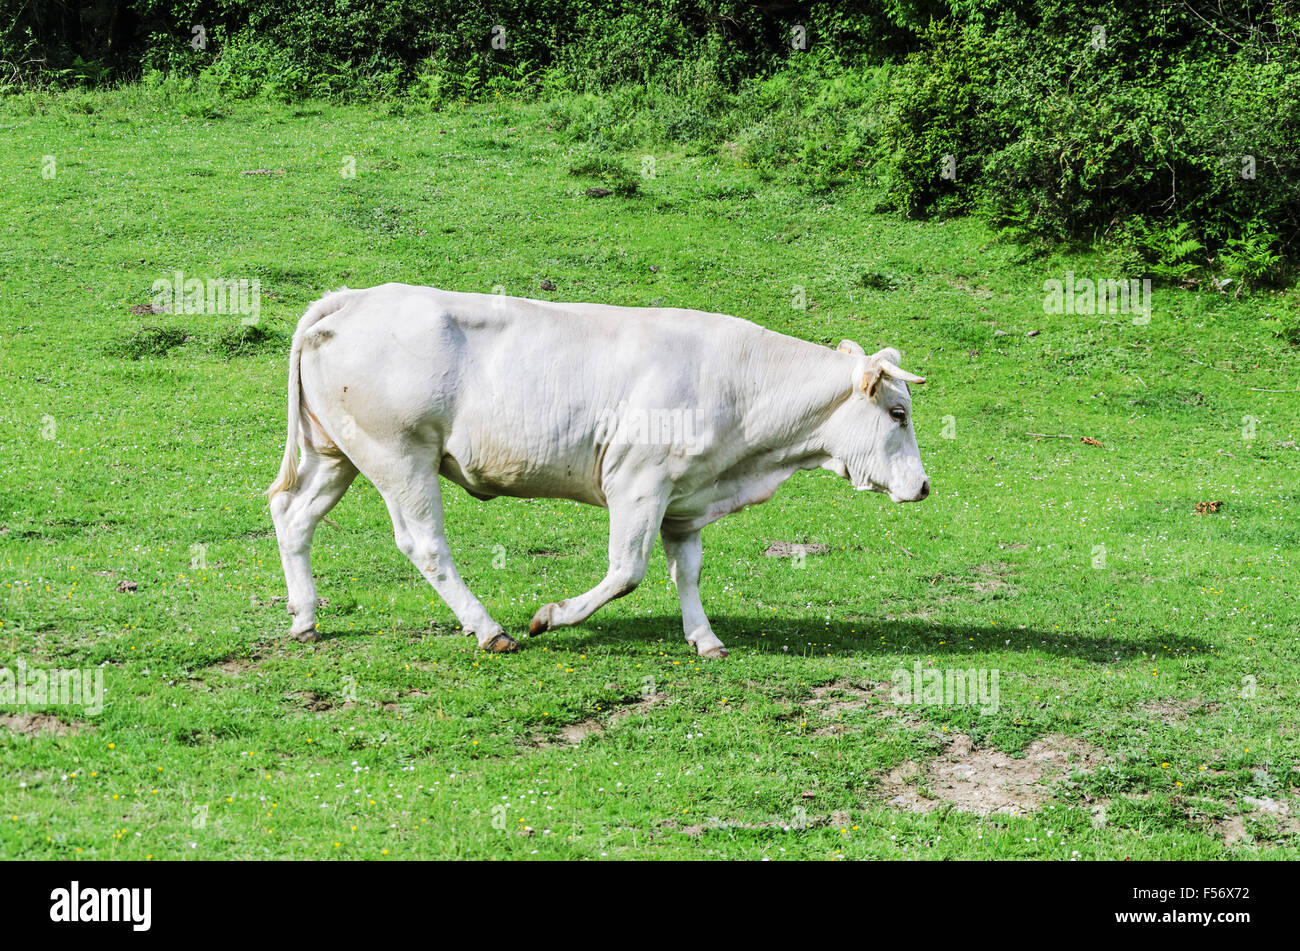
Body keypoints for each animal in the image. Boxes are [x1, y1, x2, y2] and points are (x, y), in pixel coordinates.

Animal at [269, 281, 930, 654]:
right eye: (898, 413)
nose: (924, 487)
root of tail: (353, 299)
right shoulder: (638, 483)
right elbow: (626, 572)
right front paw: (551, 617)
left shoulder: (686, 499)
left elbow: (687, 573)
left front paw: (706, 640)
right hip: (400, 455)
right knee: (425, 544)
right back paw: (490, 630)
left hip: (337, 452)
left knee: (293, 514)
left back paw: (305, 618)